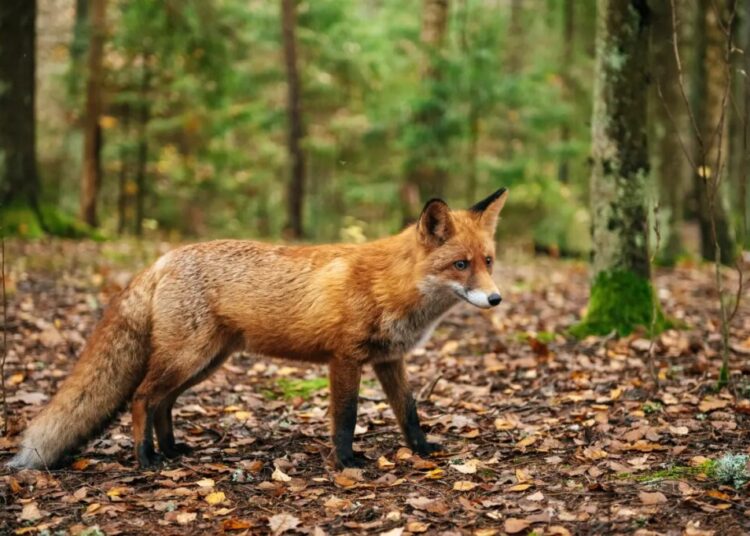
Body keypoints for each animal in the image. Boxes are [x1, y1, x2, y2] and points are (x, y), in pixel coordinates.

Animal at [7, 188, 508, 470]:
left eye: (488, 262)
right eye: (460, 265)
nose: (496, 299)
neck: (390, 285)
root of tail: (163, 259)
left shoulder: (390, 359)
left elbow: (409, 412)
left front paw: (422, 452)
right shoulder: (344, 358)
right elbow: (345, 418)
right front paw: (347, 463)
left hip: (206, 362)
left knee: (163, 402)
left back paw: (171, 451)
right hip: (187, 357)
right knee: (142, 397)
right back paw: (145, 459)